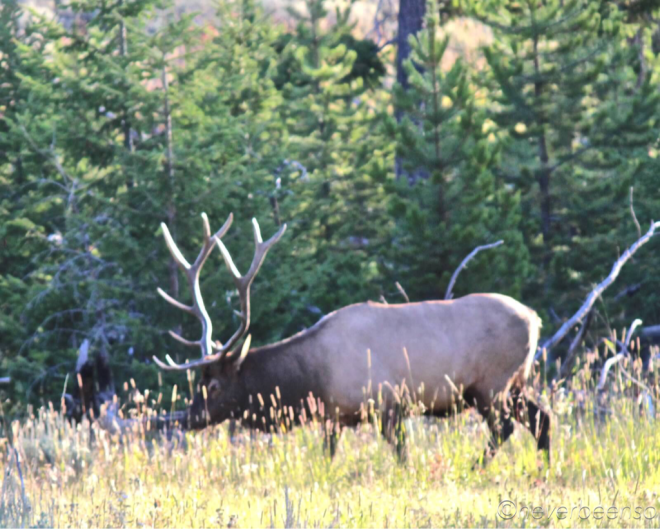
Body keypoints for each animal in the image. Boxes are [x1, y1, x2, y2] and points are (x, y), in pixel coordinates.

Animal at [152, 212, 551, 466]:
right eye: (198, 382)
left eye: (214, 385)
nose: (188, 419)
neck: (311, 380)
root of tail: (535, 319)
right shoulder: (334, 417)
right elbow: (327, 457)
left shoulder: (388, 403)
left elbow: (402, 456)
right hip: (515, 384)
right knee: (541, 418)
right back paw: (543, 469)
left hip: (491, 385)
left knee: (506, 427)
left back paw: (475, 467)